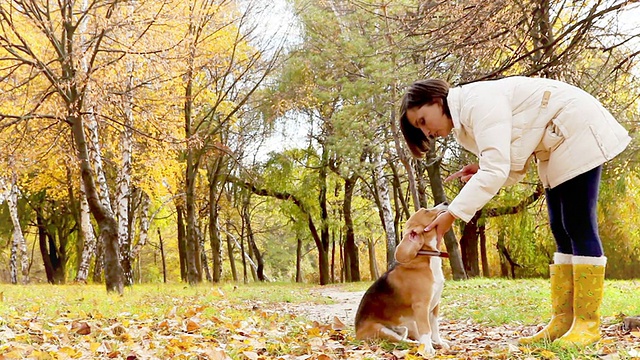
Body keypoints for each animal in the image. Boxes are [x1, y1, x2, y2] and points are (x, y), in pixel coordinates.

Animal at [356, 204, 450, 352]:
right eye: (426, 211)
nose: (446, 202)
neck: (426, 257)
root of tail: (356, 334)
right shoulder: (421, 306)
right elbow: (426, 329)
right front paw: (428, 349)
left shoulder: (435, 304)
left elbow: (435, 328)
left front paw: (438, 342)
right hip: (382, 330)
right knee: (404, 341)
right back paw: (420, 345)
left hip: (407, 326)